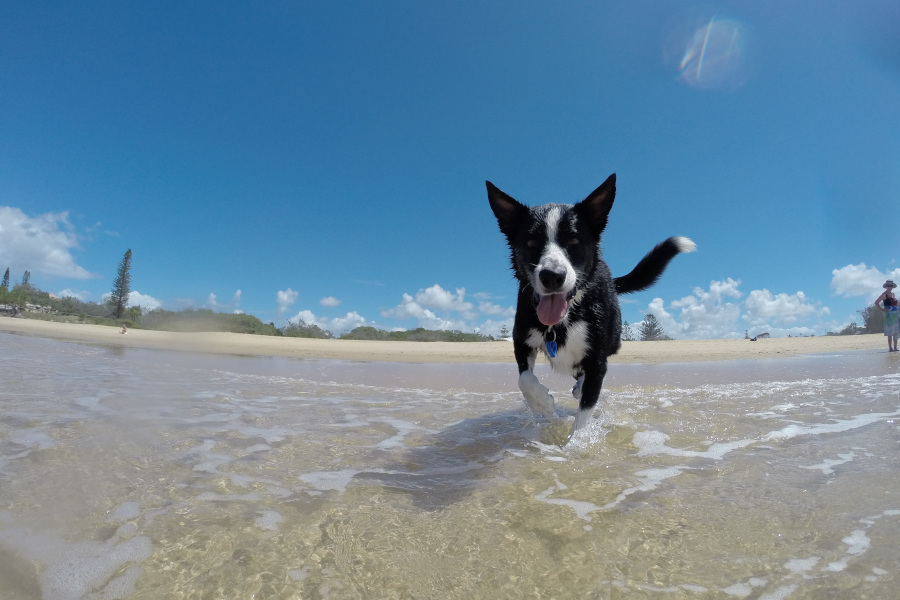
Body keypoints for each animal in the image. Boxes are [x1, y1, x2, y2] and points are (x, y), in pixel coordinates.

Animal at [486, 172, 696, 436]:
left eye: (574, 240)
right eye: (531, 242)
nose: (552, 276)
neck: (563, 320)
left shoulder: (596, 358)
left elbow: (585, 411)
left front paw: (577, 442)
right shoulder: (522, 342)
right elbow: (524, 378)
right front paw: (543, 404)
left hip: (613, 336)